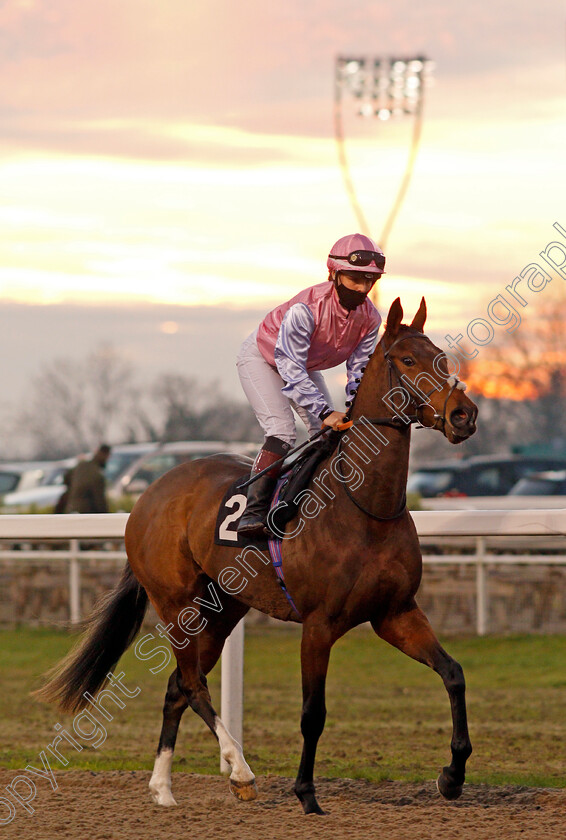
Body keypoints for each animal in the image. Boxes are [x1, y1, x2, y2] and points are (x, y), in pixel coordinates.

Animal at [36, 296, 480, 812]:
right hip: (176, 604)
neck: (365, 506)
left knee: (177, 686)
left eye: (442, 359)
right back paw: (239, 768)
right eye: (407, 360)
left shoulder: (395, 612)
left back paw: (164, 787)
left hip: (222, 608)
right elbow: (313, 712)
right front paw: (306, 793)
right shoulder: (319, 624)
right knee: (192, 684)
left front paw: (452, 774)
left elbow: (454, 674)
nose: (464, 415)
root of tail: (149, 496)